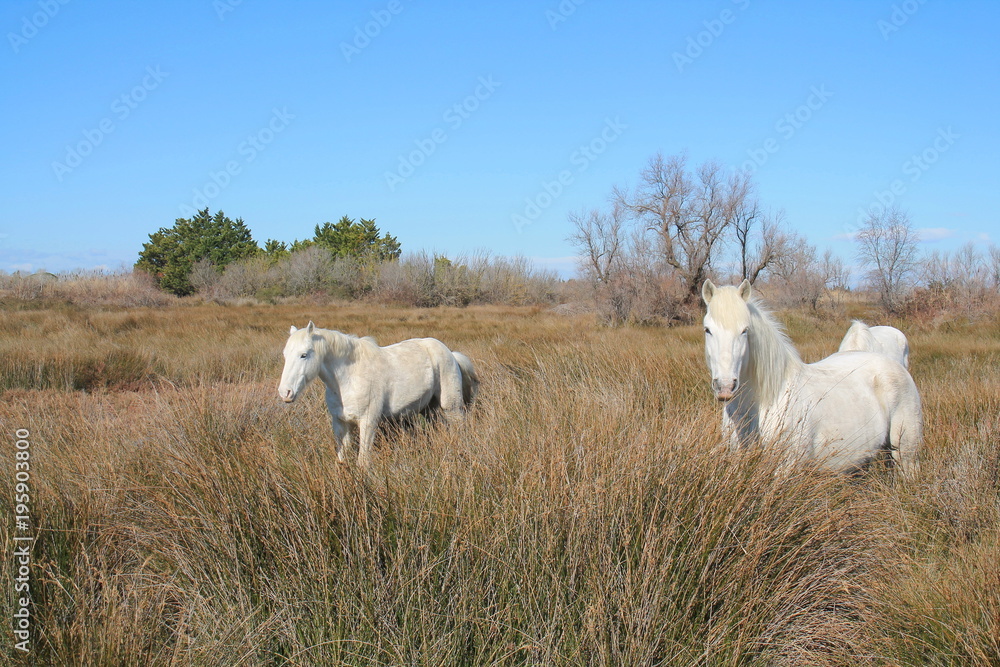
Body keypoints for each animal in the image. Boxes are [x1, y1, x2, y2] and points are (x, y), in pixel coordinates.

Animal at [278, 322, 479, 467]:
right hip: (430, 410)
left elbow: (363, 461)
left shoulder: (368, 422)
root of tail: (450, 353)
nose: (285, 392)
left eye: (304, 355)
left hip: (451, 407)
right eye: (285, 355)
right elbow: (342, 458)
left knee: (458, 427)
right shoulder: (341, 423)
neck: (349, 379)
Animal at [701, 280, 922, 475]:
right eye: (708, 330)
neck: (766, 401)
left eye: (744, 330)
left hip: (905, 452)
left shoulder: (786, 468)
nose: (725, 387)